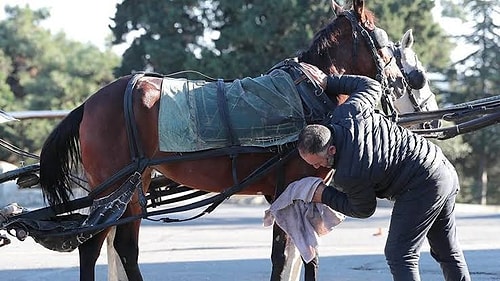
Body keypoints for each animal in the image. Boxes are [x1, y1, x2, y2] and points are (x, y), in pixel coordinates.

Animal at [38, 0, 410, 280]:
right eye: (383, 40)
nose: (401, 80)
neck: (310, 91)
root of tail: (89, 103)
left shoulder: (287, 192)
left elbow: (289, 253)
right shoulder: (296, 187)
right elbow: (298, 255)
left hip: (133, 187)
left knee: (125, 248)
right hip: (112, 188)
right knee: (91, 246)